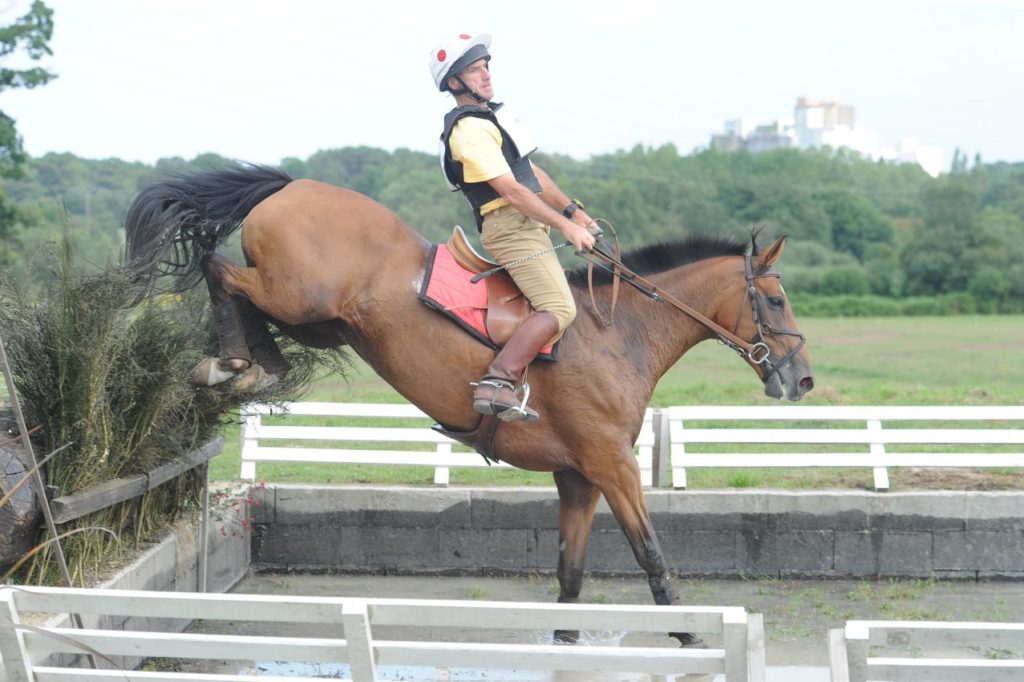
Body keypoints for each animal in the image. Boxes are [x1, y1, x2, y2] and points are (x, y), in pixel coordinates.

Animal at [123, 163, 811, 643]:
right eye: (777, 301)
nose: (801, 380)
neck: (619, 331)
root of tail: (293, 186)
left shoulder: (578, 475)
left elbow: (571, 568)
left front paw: (566, 640)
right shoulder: (612, 464)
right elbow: (650, 552)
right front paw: (689, 633)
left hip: (323, 323)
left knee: (237, 288)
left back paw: (252, 363)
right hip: (300, 294)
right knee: (219, 269)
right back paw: (238, 362)